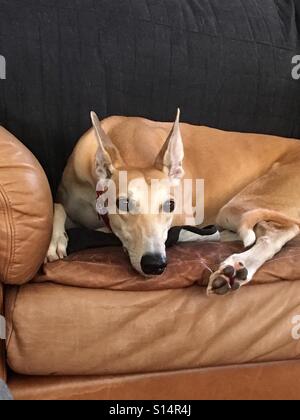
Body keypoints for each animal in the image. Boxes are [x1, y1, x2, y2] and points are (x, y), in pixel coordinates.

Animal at [45, 110, 300, 296]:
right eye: (124, 203)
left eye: (170, 205)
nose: (154, 265)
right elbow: (58, 206)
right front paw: (56, 239)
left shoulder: (185, 218)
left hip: (236, 206)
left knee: (280, 229)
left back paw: (237, 266)